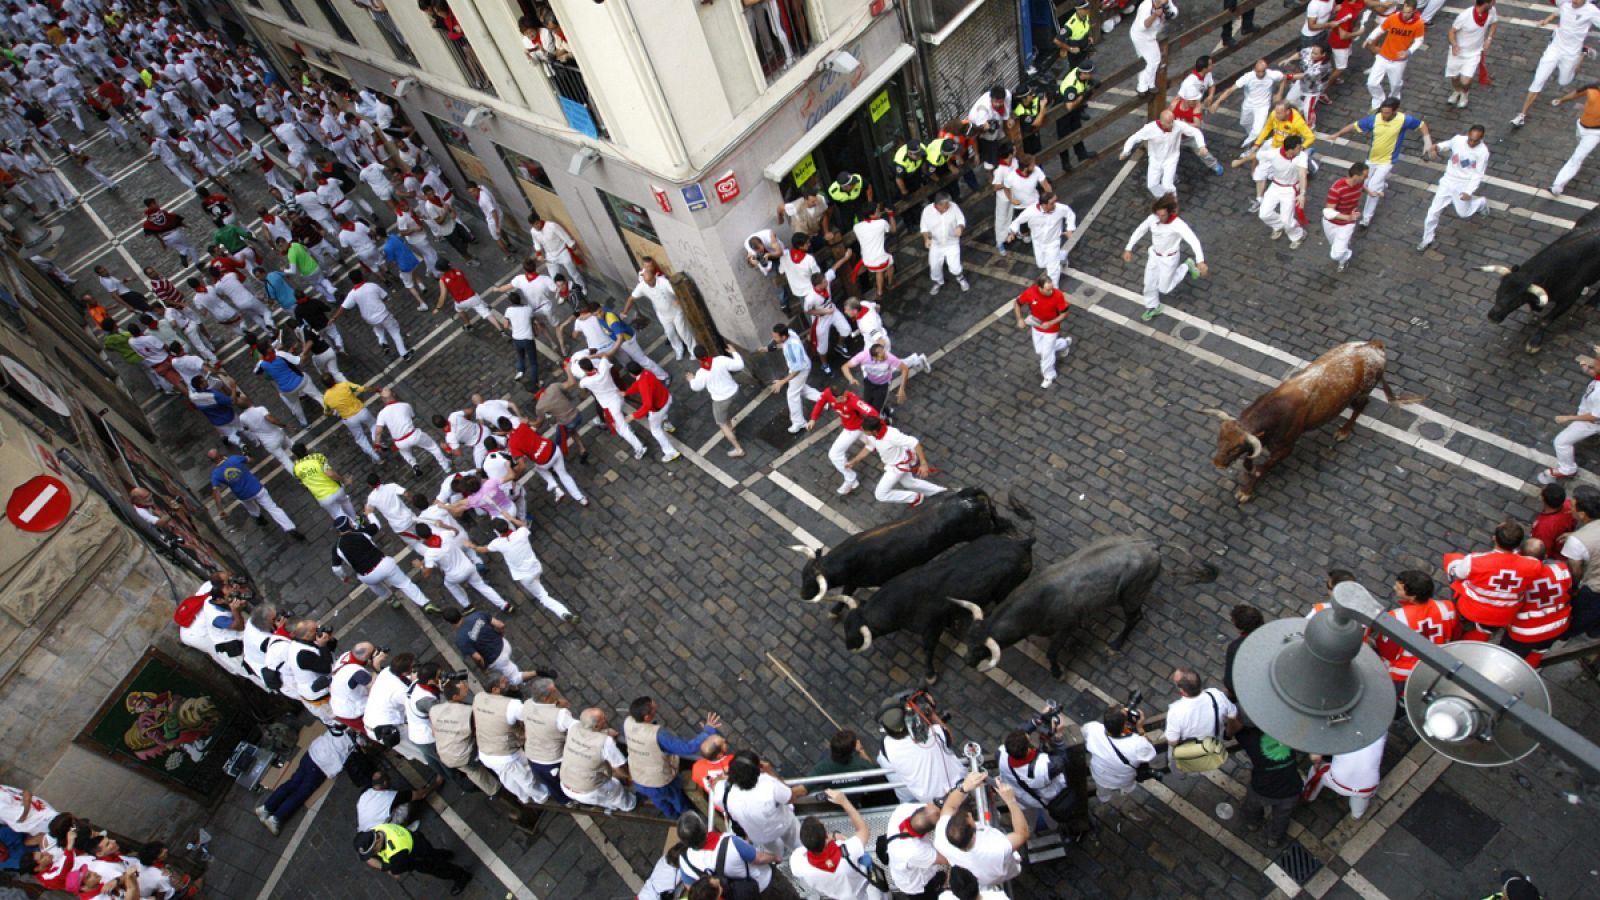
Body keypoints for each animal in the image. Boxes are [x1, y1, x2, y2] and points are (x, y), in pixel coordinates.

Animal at [838, 518, 1036, 679]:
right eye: (846, 626)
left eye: (855, 633)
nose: (848, 646)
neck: (904, 603)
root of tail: (1022, 544)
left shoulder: (931, 629)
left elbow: (928, 649)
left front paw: (930, 674)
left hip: (1006, 589)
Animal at [1203, 337, 1420, 499]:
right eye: (1219, 440)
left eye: (1235, 448)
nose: (1217, 463)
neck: (1275, 410)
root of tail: (1374, 345)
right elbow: (1249, 463)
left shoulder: (1285, 449)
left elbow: (1260, 470)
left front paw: (1246, 492)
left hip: (1360, 394)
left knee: (1361, 406)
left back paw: (1343, 431)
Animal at [1478, 204, 1600, 352]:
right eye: (1498, 290)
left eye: (1517, 299)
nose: (1492, 316)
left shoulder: (1569, 299)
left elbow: (1545, 321)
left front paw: (1534, 342)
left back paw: (1591, 303)